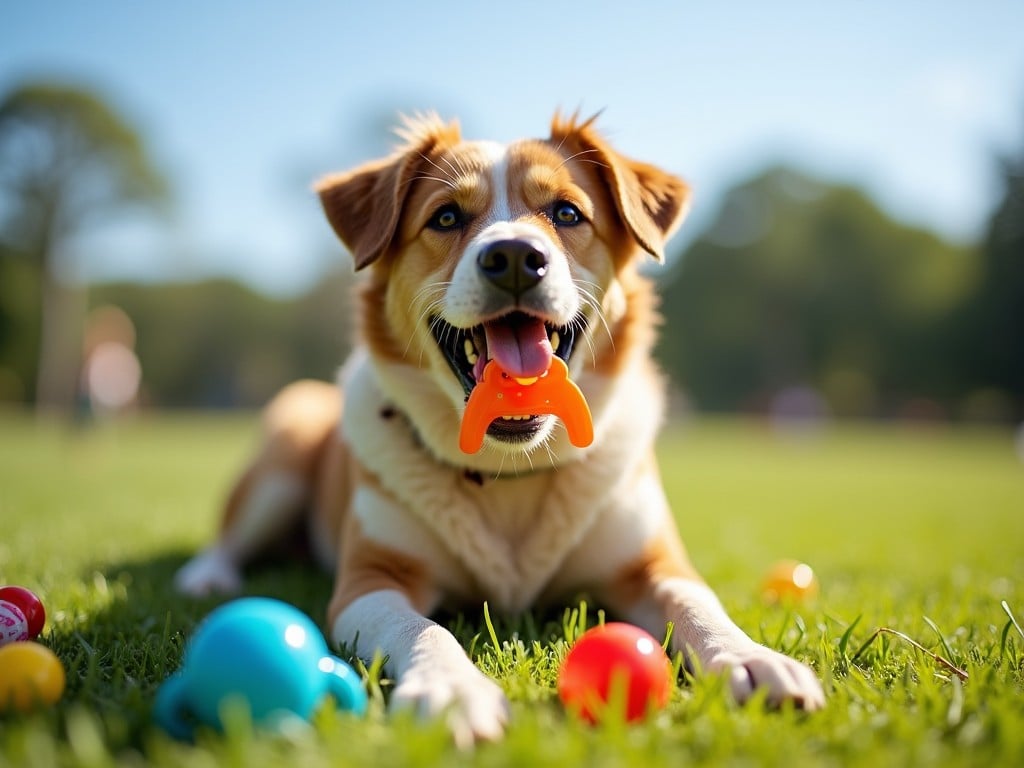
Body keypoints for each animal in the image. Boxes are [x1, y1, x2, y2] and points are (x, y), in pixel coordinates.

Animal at [176, 112, 827, 745]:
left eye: (567, 213)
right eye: (445, 216)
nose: (514, 256)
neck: (510, 468)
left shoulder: (652, 565)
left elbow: (700, 602)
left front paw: (751, 659)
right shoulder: (369, 581)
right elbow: (422, 628)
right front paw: (452, 690)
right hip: (283, 452)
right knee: (228, 535)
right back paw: (206, 578)